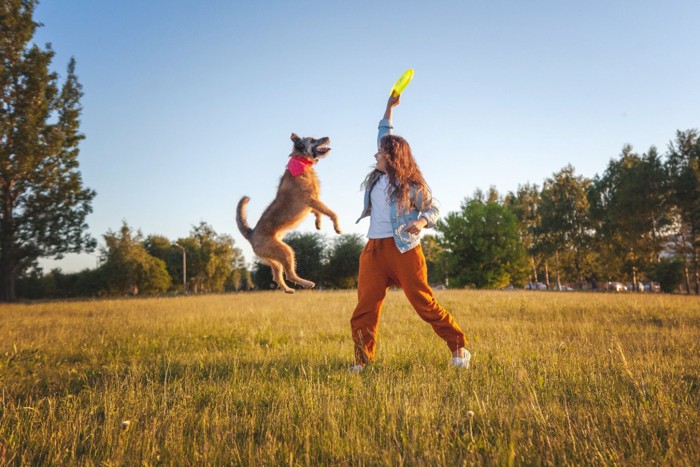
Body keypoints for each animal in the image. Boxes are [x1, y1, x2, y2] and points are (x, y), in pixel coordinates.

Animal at [238, 133, 342, 292]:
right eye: (312, 140)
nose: (327, 137)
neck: (301, 160)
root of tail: (251, 234)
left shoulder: (311, 204)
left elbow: (318, 212)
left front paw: (318, 223)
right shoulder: (312, 200)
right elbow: (332, 212)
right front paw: (337, 227)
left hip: (273, 259)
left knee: (277, 275)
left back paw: (287, 289)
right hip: (286, 251)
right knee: (290, 274)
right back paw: (307, 283)